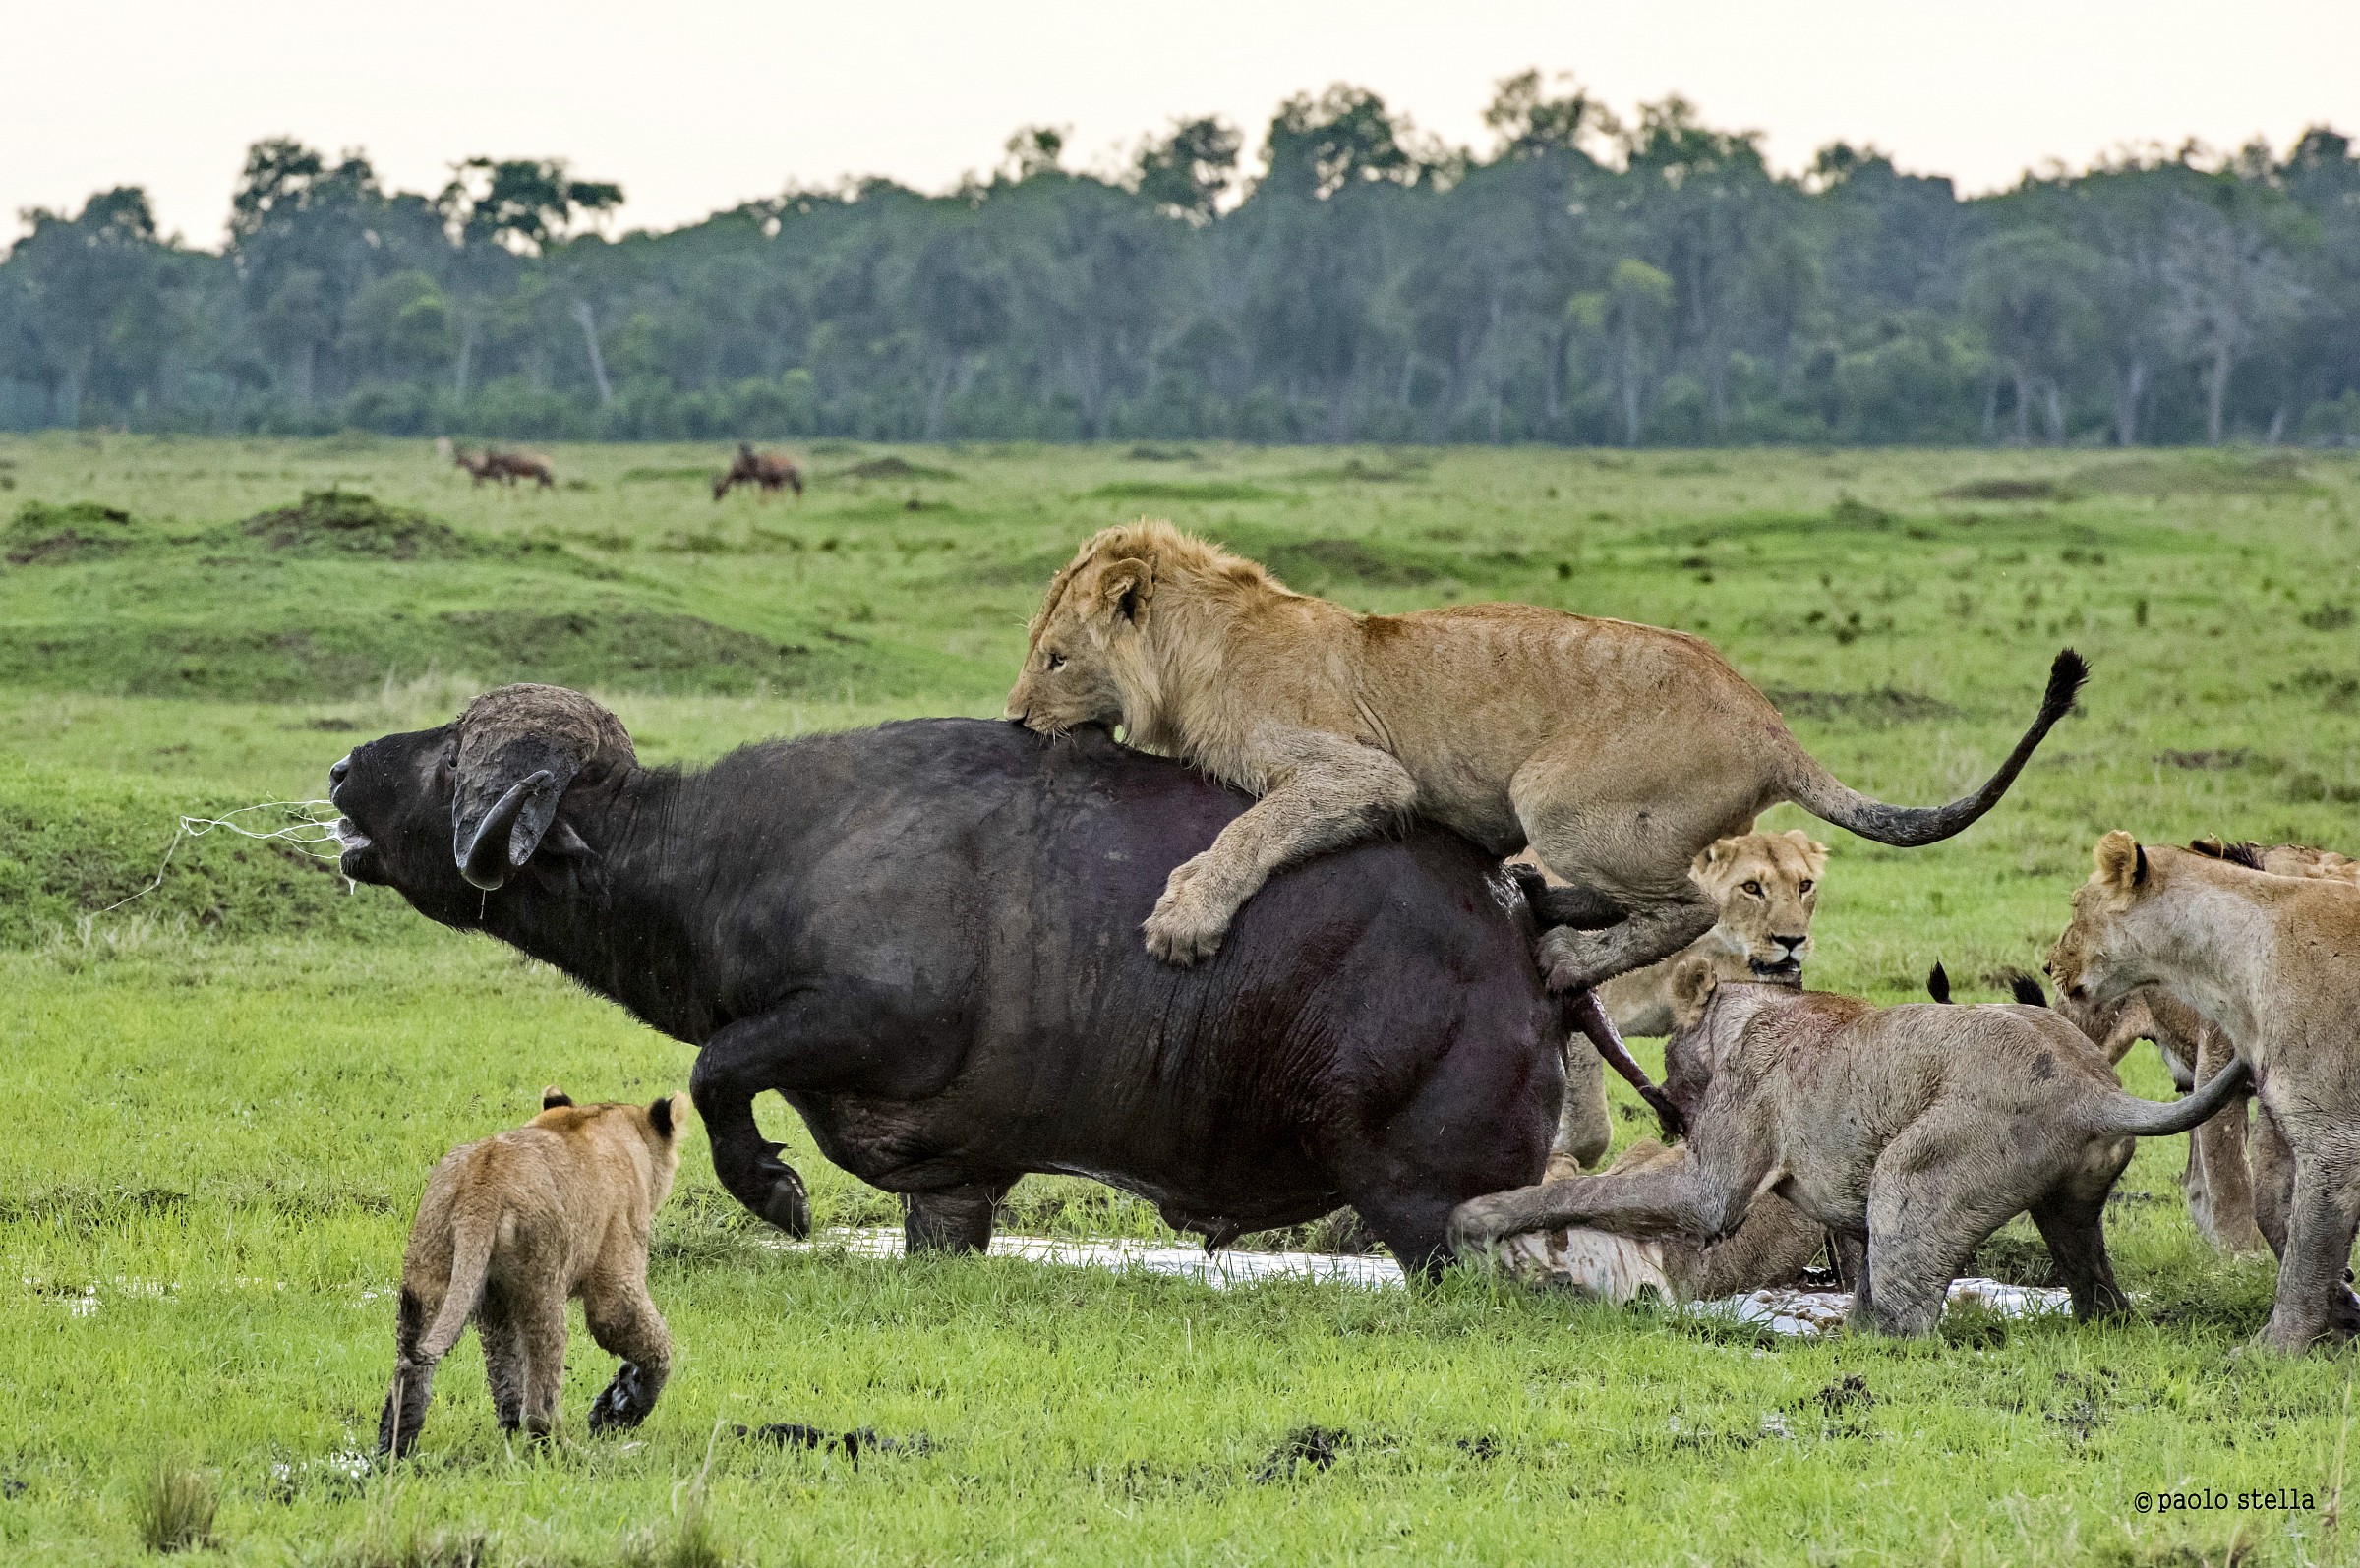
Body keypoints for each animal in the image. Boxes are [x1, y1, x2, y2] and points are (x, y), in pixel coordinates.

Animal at [328, 685, 1566, 1269]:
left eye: (447, 757)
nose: (341, 767)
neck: (742, 854)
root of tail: (1513, 919)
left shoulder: (868, 1013)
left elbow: (718, 1063)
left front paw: (771, 1188)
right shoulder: (953, 1194)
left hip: (1430, 1214)